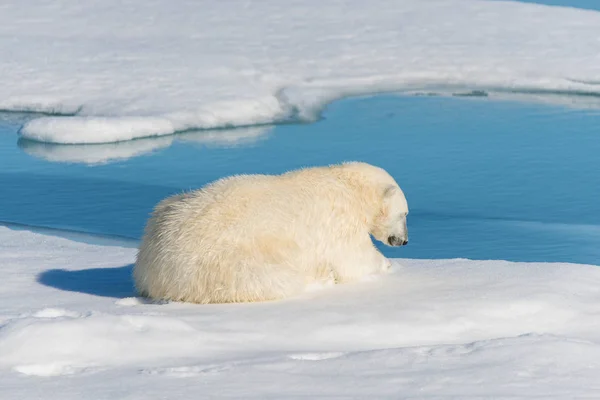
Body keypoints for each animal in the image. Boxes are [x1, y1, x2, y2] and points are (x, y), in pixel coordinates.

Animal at [134, 162, 410, 304]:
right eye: (404, 214)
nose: (405, 241)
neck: (349, 186)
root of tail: (154, 268)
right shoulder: (339, 220)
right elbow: (353, 259)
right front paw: (386, 264)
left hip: (166, 209)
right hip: (224, 260)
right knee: (271, 279)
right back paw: (320, 278)